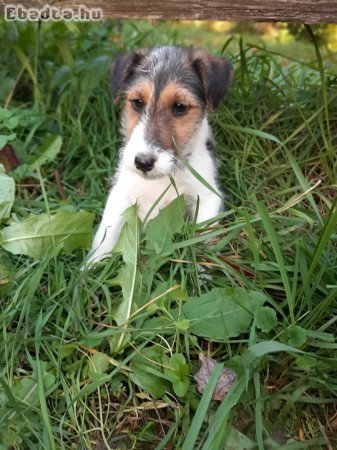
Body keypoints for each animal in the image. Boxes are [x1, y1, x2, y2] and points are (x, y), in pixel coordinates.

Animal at [85, 45, 232, 266]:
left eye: (180, 107)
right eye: (137, 102)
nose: (143, 162)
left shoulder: (207, 197)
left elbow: (203, 241)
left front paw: (204, 271)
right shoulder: (121, 196)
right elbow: (105, 237)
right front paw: (91, 268)